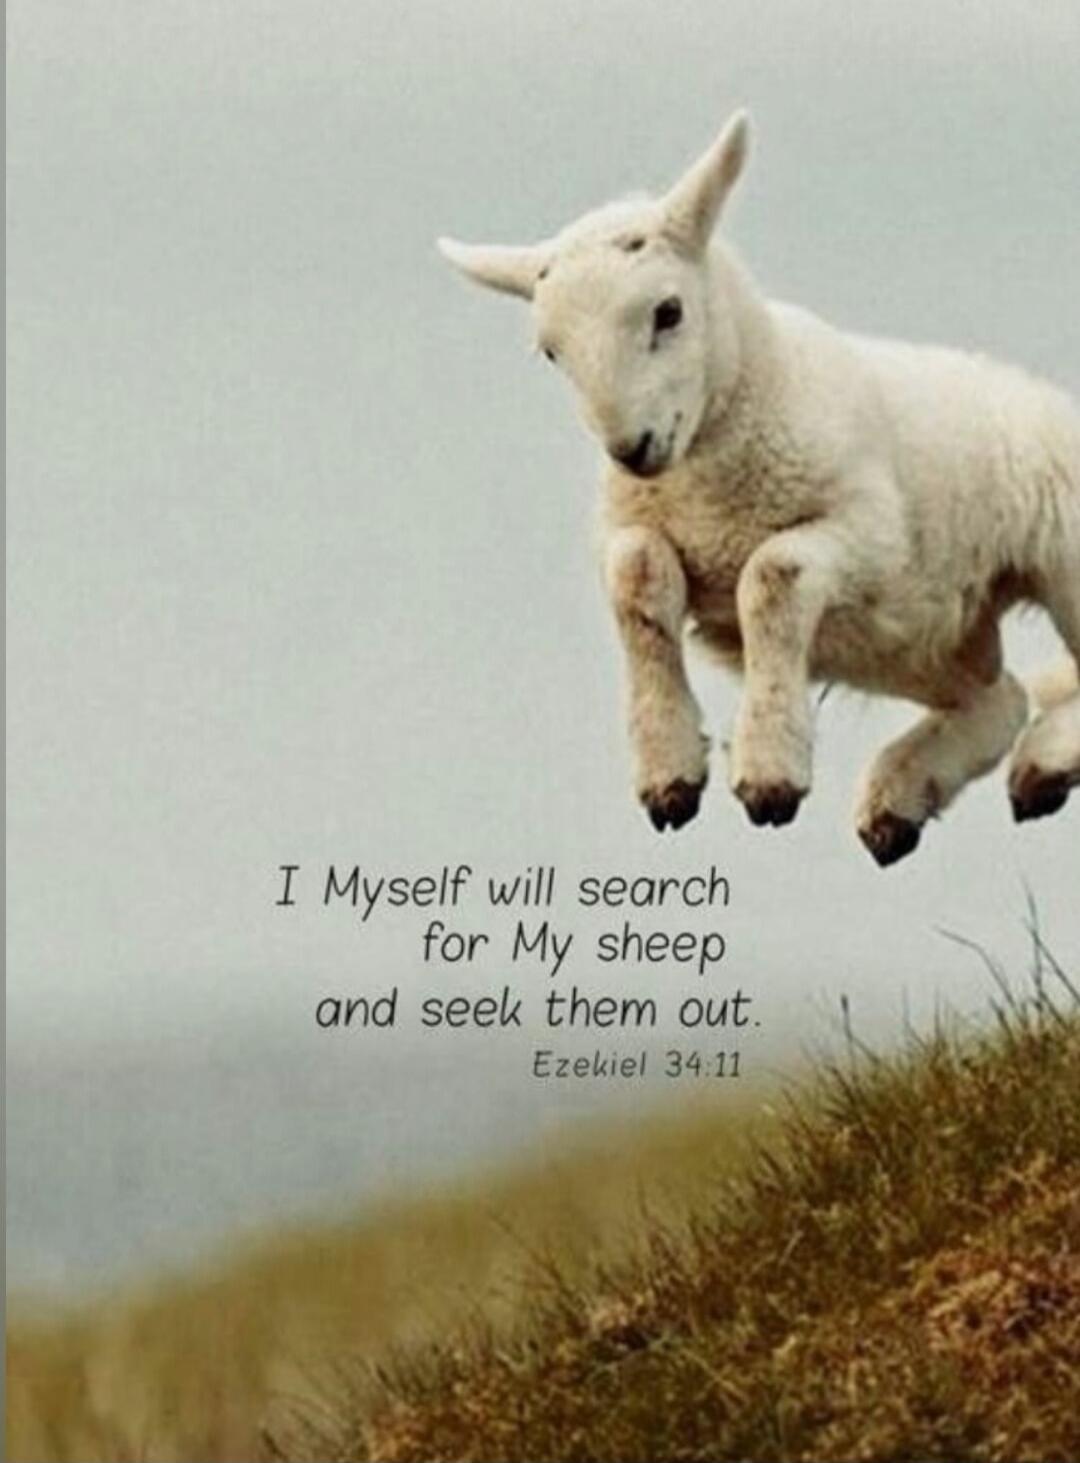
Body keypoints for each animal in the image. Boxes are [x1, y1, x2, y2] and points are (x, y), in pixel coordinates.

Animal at [437, 111, 1080, 866]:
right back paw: (905, 799)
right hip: (910, 634)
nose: (631, 448)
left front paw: (769, 775)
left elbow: (773, 578)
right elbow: (638, 581)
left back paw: (1040, 762)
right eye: (551, 350)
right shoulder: (632, 527)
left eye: (668, 312)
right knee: (997, 698)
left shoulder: (870, 533)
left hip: (1046, 555)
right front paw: (670, 773)